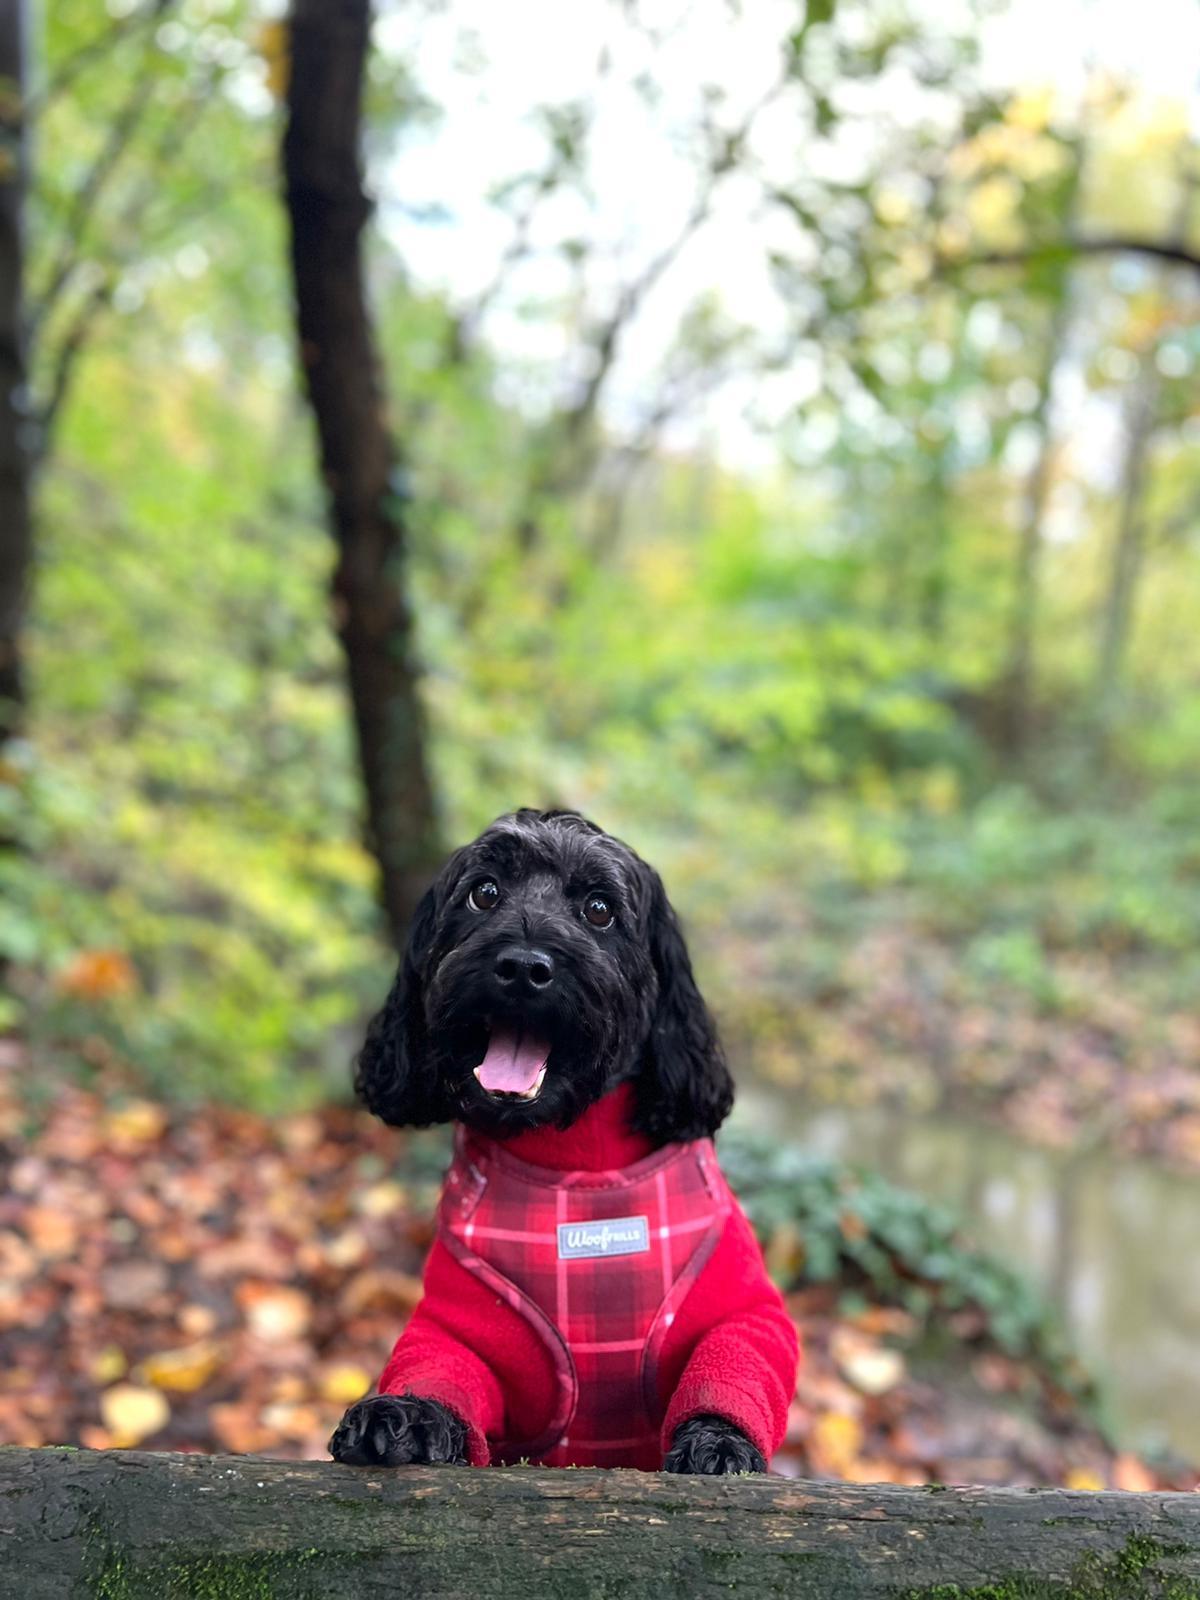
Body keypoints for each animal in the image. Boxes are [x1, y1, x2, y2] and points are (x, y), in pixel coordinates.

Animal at [331, 812, 800, 1472]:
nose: (524, 967)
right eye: (484, 892)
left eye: (599, 909)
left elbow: (734, 1358)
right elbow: (442, 1365)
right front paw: (404, 1415)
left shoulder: (744, 1310)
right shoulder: (460, 1323)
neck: (579, 1171)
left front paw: (719, 1440)